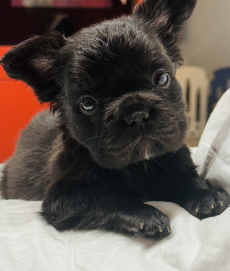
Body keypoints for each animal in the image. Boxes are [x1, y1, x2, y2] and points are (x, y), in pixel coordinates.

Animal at [0, 0, 230, 239]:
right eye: (87, 103)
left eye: (162, 78)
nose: (136, 114)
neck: (139, 165)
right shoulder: (62, 200)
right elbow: (105, 198)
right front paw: (145, 215)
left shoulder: (176, 160)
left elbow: (187, 178)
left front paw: (206, 195)